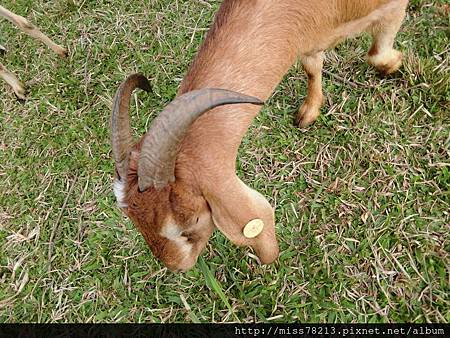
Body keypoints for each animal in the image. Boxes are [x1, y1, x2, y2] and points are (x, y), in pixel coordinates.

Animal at [111, 0, 408, 270]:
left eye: (190, 222)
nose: (176, 267)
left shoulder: (393, 8)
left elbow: (377, 53)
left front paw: (395, 63)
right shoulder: (310, 40)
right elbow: (312, 65)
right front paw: (309, 113)